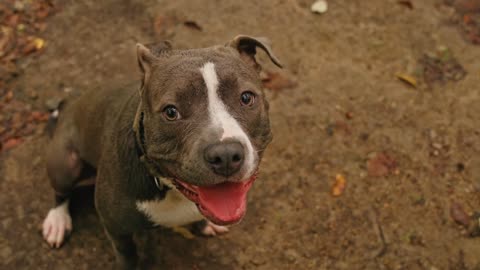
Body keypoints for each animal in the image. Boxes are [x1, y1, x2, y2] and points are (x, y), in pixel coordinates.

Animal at [42, 35, 282, 268]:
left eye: (246, 98)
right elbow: (128, 256)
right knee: (61, 192)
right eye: (171, 112)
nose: (225, 155)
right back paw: (57, 221)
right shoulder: (116, 229)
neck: (169, 188)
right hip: (65, 164)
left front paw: (204, 225)